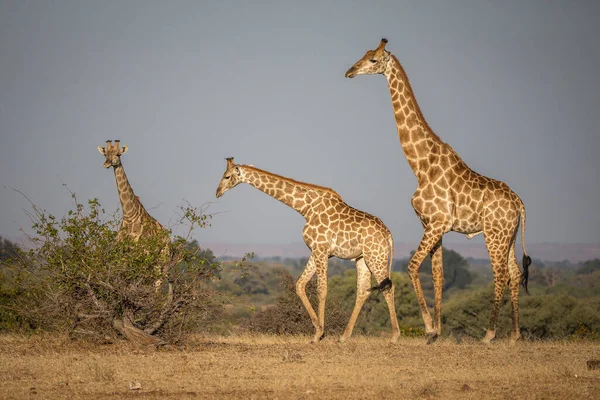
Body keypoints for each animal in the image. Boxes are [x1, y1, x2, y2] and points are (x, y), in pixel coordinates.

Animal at [96, 139, 171, 286]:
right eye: (105, 154)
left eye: (118, 154)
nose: (106, 164)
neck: (130, 215)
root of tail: (169, 239)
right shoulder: (123, 253)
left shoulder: (142, 253)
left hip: (162, 261)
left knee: (157, 282)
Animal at [213, 158, 400, 342]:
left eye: (227, 176)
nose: (217, 192)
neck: (306, 207)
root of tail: (388, 234)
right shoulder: (315, 251)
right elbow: (300, 285)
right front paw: (317, 330)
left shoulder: (321, 249)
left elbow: (321, 290)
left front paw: (320, 334)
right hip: (362, 259)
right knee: (363, 290)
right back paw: (344, 336)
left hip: (376, 256)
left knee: (388, 288)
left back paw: (394, 336)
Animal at [344, 38, 532, 344]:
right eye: (364, 54)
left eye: (373, 60)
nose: (350, 71)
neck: (420, 165)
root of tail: (519, 204)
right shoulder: (432, 226)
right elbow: (439, 276)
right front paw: (438, 331)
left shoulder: (436, 223)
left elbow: (412, 267)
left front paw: (430, 328)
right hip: (510, 235)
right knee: (515, 273)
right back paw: (514, 334)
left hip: (494, 234)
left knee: (501, 274)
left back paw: (489, 333)